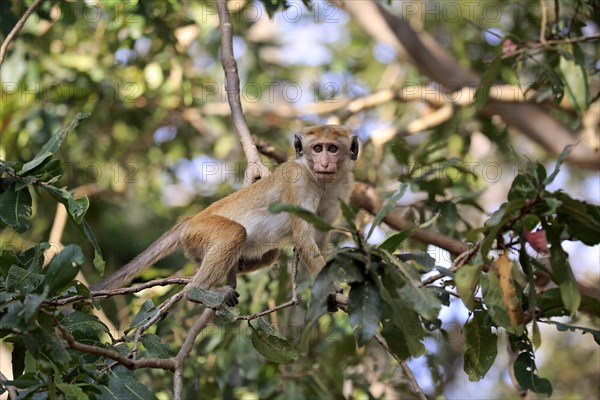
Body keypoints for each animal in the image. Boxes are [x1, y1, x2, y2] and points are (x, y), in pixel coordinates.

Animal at [91, 125, 358, 306]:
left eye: (333, 149)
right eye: (318, 148)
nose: (325, 163)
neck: (320, 182)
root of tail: (189, 220)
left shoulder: (344, 188)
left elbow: (320, 239)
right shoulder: (297, 181)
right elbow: (304, 238)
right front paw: (332, 289)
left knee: (269, 253)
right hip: (201, 229)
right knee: (234, 233)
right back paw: (196, 291)